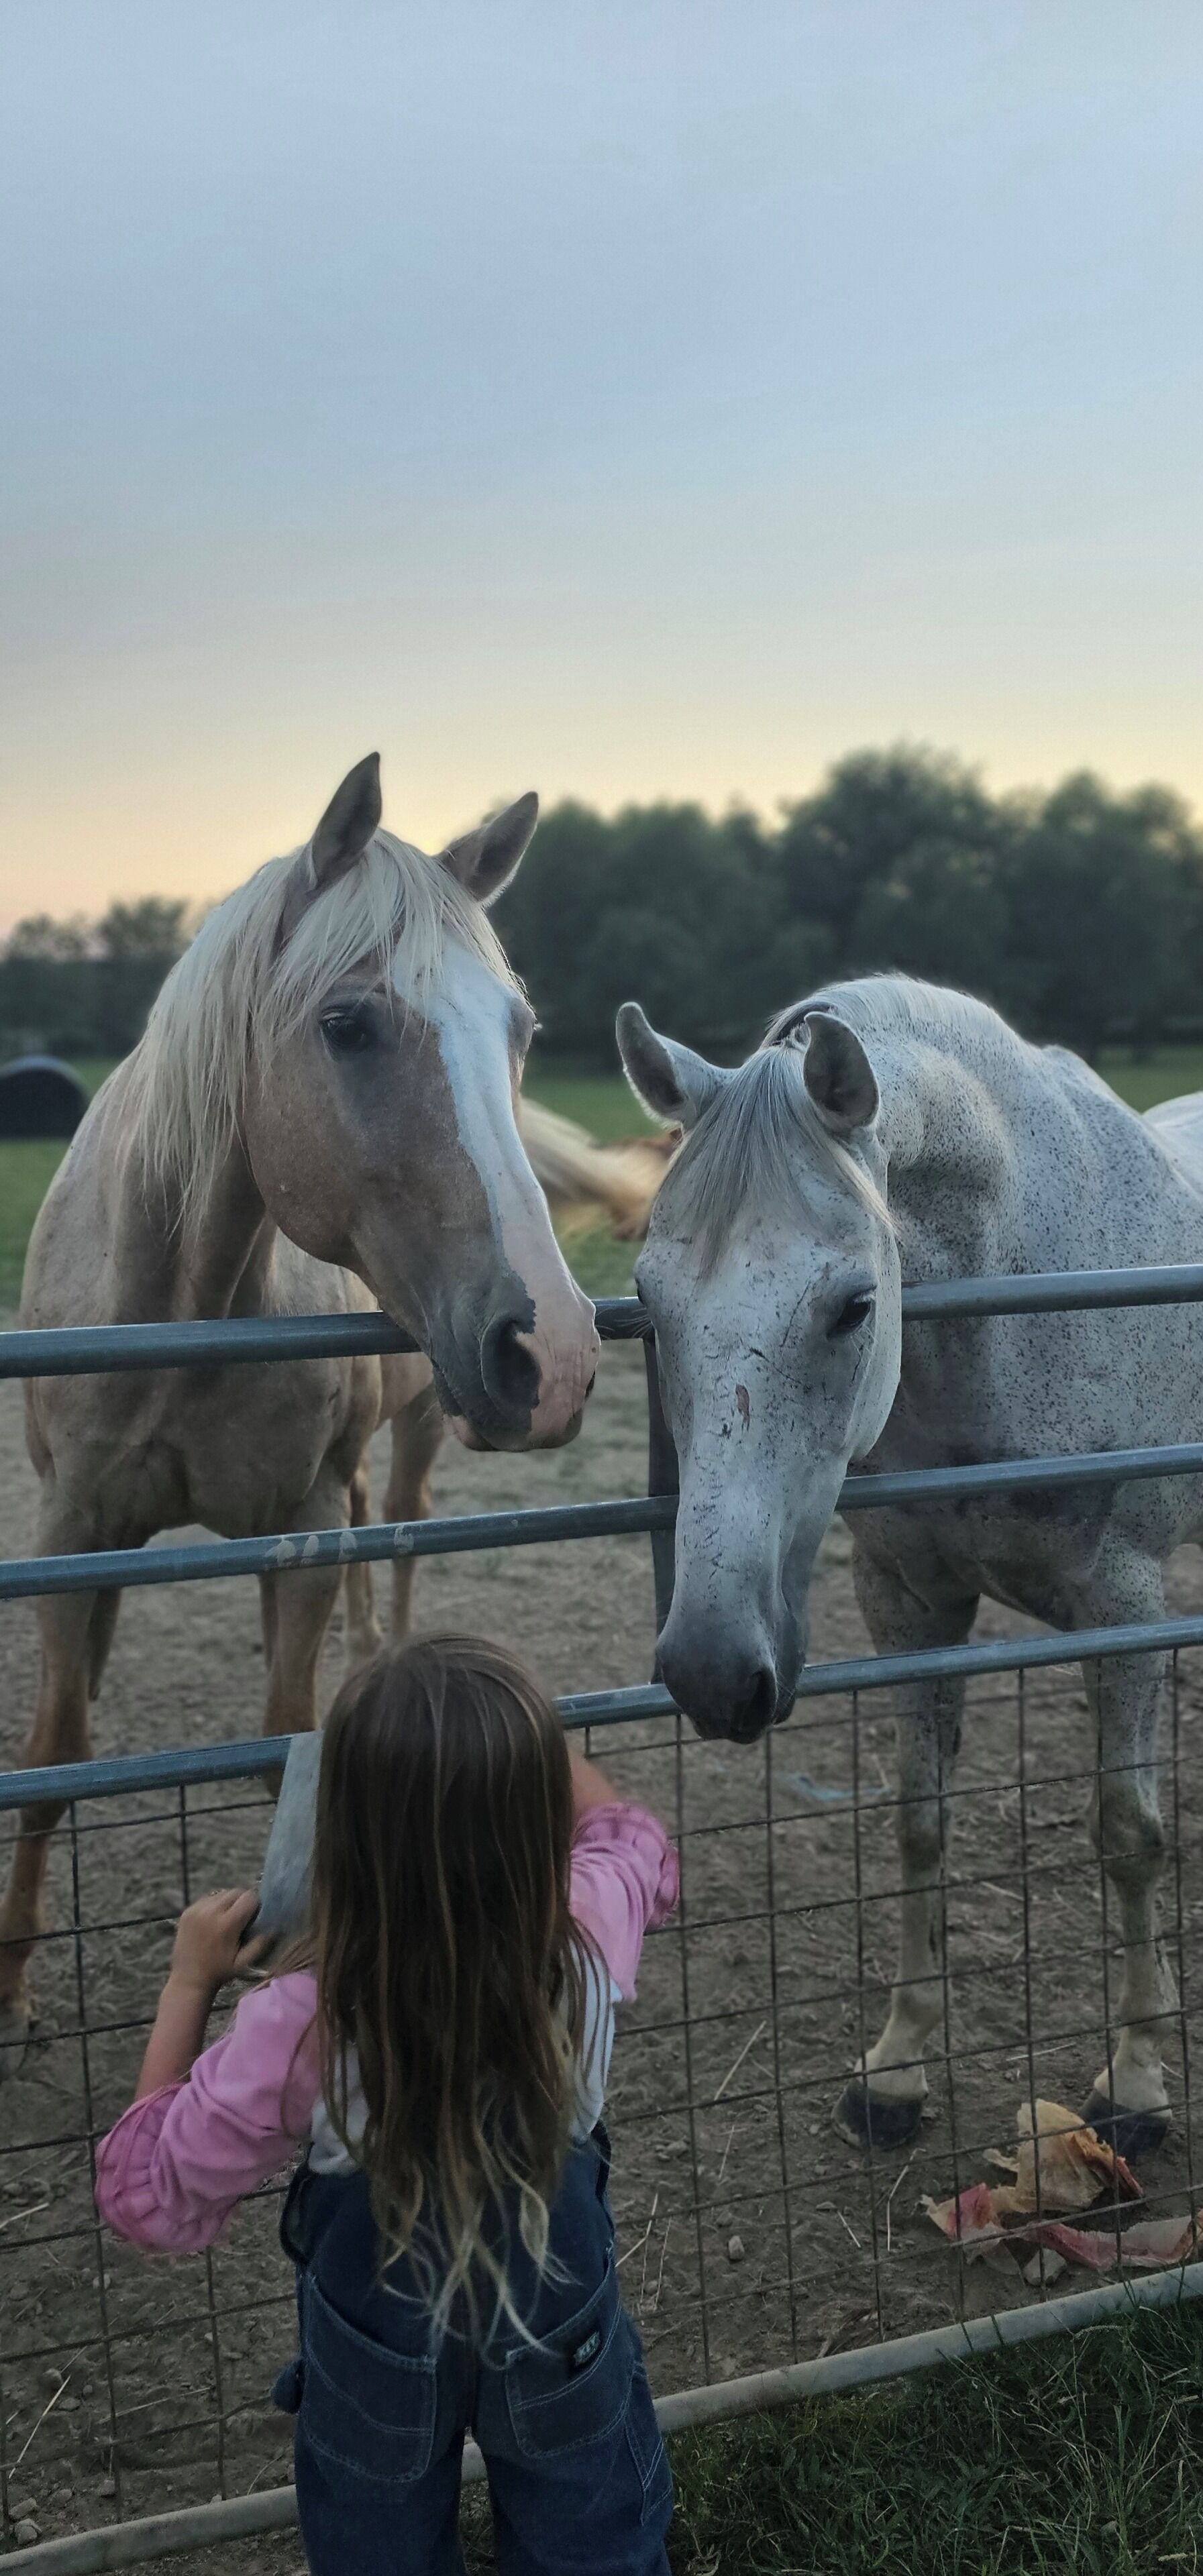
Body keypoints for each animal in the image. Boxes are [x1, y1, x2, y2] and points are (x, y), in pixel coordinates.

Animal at [0, 754, 600, 2061]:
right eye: (345, 1023)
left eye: (521, 1033)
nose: (555, 1351)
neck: (188, 1305)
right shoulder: (69, 1535)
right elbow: (57, 1750)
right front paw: (12, 1987)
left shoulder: (304, 1530)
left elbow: (289, 1729)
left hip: (423, 1430)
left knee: (403, 1526)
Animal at [617, 973, 1203, 2161]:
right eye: (648, 1303)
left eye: (853, 1305)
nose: (711, 1669)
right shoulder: (910, 1605)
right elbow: (916, 1823)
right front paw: (894, 2071)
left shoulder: (1125, 1605)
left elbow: (1129, 1833)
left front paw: (1135, 2086)